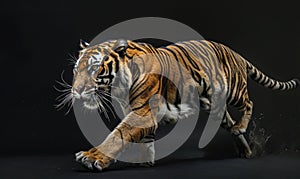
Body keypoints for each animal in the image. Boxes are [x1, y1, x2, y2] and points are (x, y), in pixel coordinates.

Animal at [59, 38, 298, 171]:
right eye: (76, 70)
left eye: (94, 69)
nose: (76, 91)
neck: (118, 86)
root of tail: (235, 53)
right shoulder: (142, 114)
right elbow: (144, 139)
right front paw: (145, 162)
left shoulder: (143, 111)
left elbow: (118, 134)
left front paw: (91, 157)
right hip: (216, 107)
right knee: (229, 122)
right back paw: (245, 150)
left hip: (235, 91)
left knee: (249, 103)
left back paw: (242, 127)